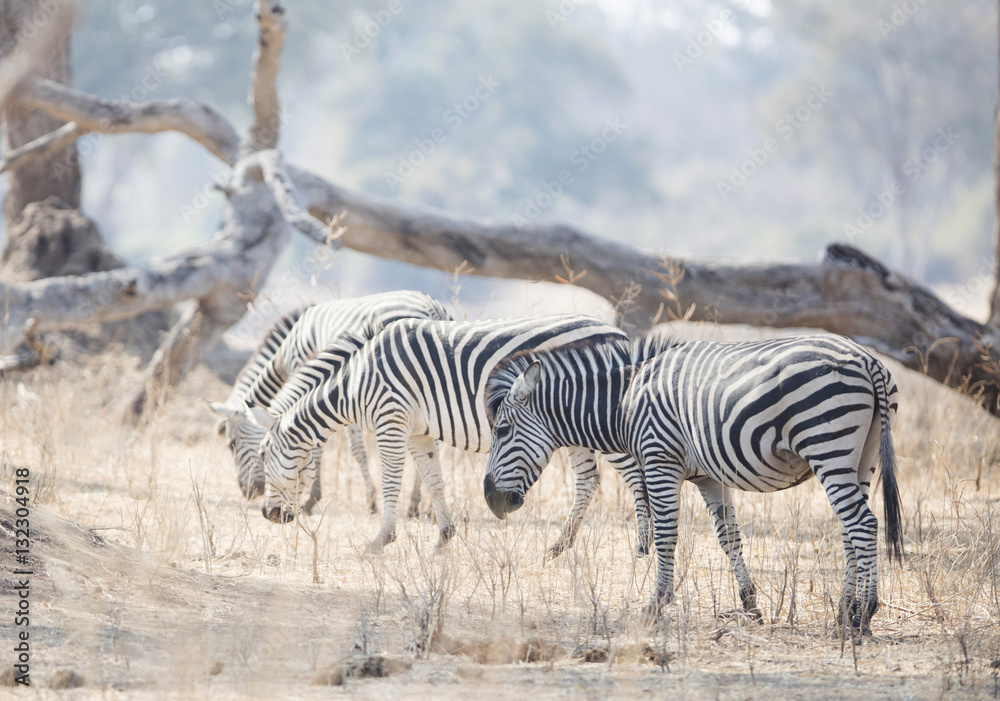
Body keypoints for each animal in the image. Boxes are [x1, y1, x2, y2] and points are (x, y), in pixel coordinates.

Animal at [208, 291, 450, 514]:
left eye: (232, 444)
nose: (250, 492)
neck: (287, 352)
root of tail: (432, 309)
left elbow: (342, 448)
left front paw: (318, 499)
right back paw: (419, 505)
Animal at [248, 316, 653, 556]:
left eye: (264, 456)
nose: (269, 515)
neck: (355, 380)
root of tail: (618, 333)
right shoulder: (417, 433)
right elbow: (434, 480)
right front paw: (444, 537)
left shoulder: (391, 421)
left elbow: (392, 482)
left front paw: (380, 540)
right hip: (571, 427)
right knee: (589, 480)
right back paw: (560, 545)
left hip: (596, 421)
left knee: (635, 476)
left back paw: (644, 545)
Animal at [483, 333, 903, 634]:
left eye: (501, 431)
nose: (490, 500)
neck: (624, 401)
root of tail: (867, 360)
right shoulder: (708, 476)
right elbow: (729, 537)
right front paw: (750, 605)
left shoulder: (659, 460)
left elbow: (667, 534)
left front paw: (655, 606)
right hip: (861, 459)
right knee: (850, 530)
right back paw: (844, 613)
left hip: (828, 446)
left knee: (864, 525)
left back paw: (864, 615)